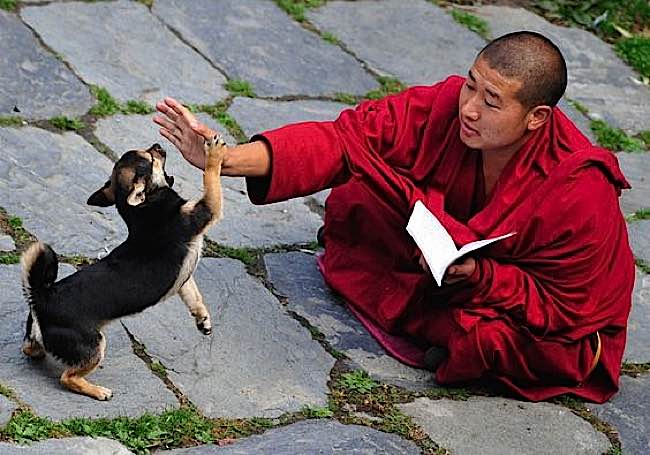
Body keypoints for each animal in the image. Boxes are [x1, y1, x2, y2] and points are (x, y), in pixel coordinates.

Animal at [20, 137, 227, 400]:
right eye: (150, 158)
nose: (158, 145)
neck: (142, 208)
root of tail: (40, 297)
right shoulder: (206, 209)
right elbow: (211, 179)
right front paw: (214, 154)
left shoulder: (183, 277)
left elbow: (194, 297)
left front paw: (203, 320)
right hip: (94, 345)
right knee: (67, 377)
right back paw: (98, 391)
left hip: (41, 340)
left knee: (31, 349)